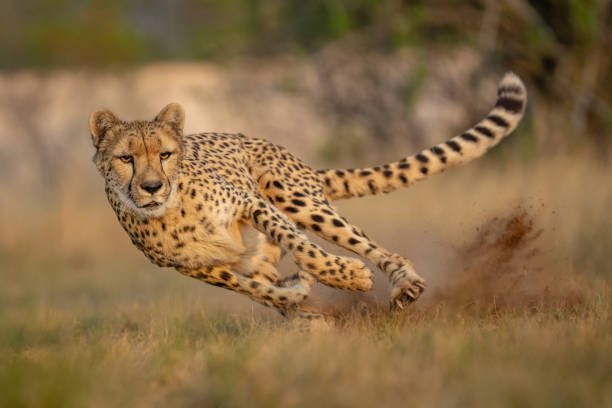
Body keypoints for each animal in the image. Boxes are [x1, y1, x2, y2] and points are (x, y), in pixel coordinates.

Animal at [89, 72, 524, 322]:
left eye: (164, 154)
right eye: (126, 158)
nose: (151, 187)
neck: (172, 211)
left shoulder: (252, 204)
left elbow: (303, 247)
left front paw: (345, 275)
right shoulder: (197, 269)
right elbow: (257, 290)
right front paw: (297, 299)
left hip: (296, 197)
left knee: (375, 249)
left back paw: (404, 284)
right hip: (257, 249)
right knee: (268, 275)